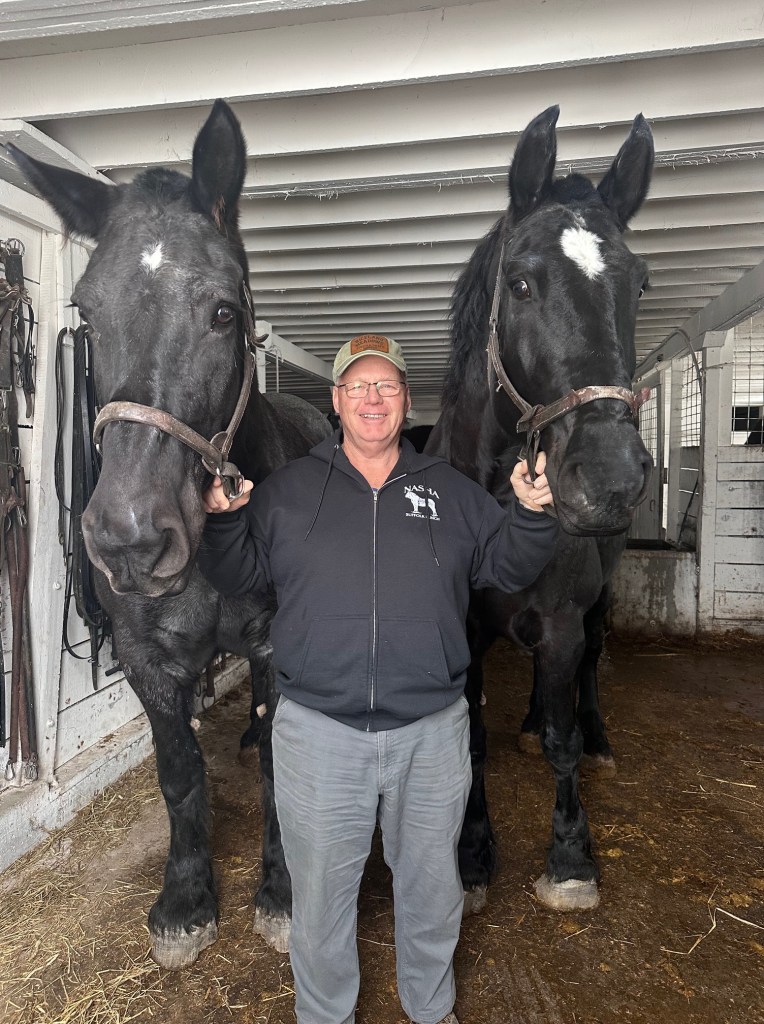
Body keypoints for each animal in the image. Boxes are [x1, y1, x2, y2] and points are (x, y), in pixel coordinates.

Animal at [7, 101, 331, 969]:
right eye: (87, 312)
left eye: (224, 312)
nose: (128, 539)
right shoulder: (149, 661)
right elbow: (179, 775)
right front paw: (185, 904)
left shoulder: (280, 647)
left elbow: (282, 770)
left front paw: (282, 893)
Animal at [426, 105, 654, 912]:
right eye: (521, 283)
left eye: (640, 284)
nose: (610, 478)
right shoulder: (458, 633)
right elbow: (468, 740)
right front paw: (469, 855)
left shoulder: (559, 621)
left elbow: (562, 740)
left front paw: (571, 859)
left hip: (595, 607)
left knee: (587, 669)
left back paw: (600, 740)